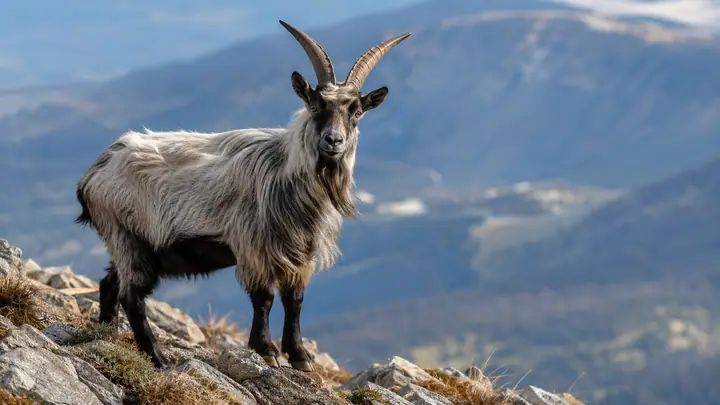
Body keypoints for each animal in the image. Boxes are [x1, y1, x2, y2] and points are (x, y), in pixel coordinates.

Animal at [75, 20, 410, 371]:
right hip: (127, 236)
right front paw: (266, 350)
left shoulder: (299, 253)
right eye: (315, 105)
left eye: (357, 112)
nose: (333, 140)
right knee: (133, 296)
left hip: (127, 243)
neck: (283, 170)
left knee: (110, 283)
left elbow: (295, 300)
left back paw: (108, 331)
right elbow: (264, 298)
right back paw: (158, 356)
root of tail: (94, 173)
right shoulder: (253, 245)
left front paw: (300, 356)